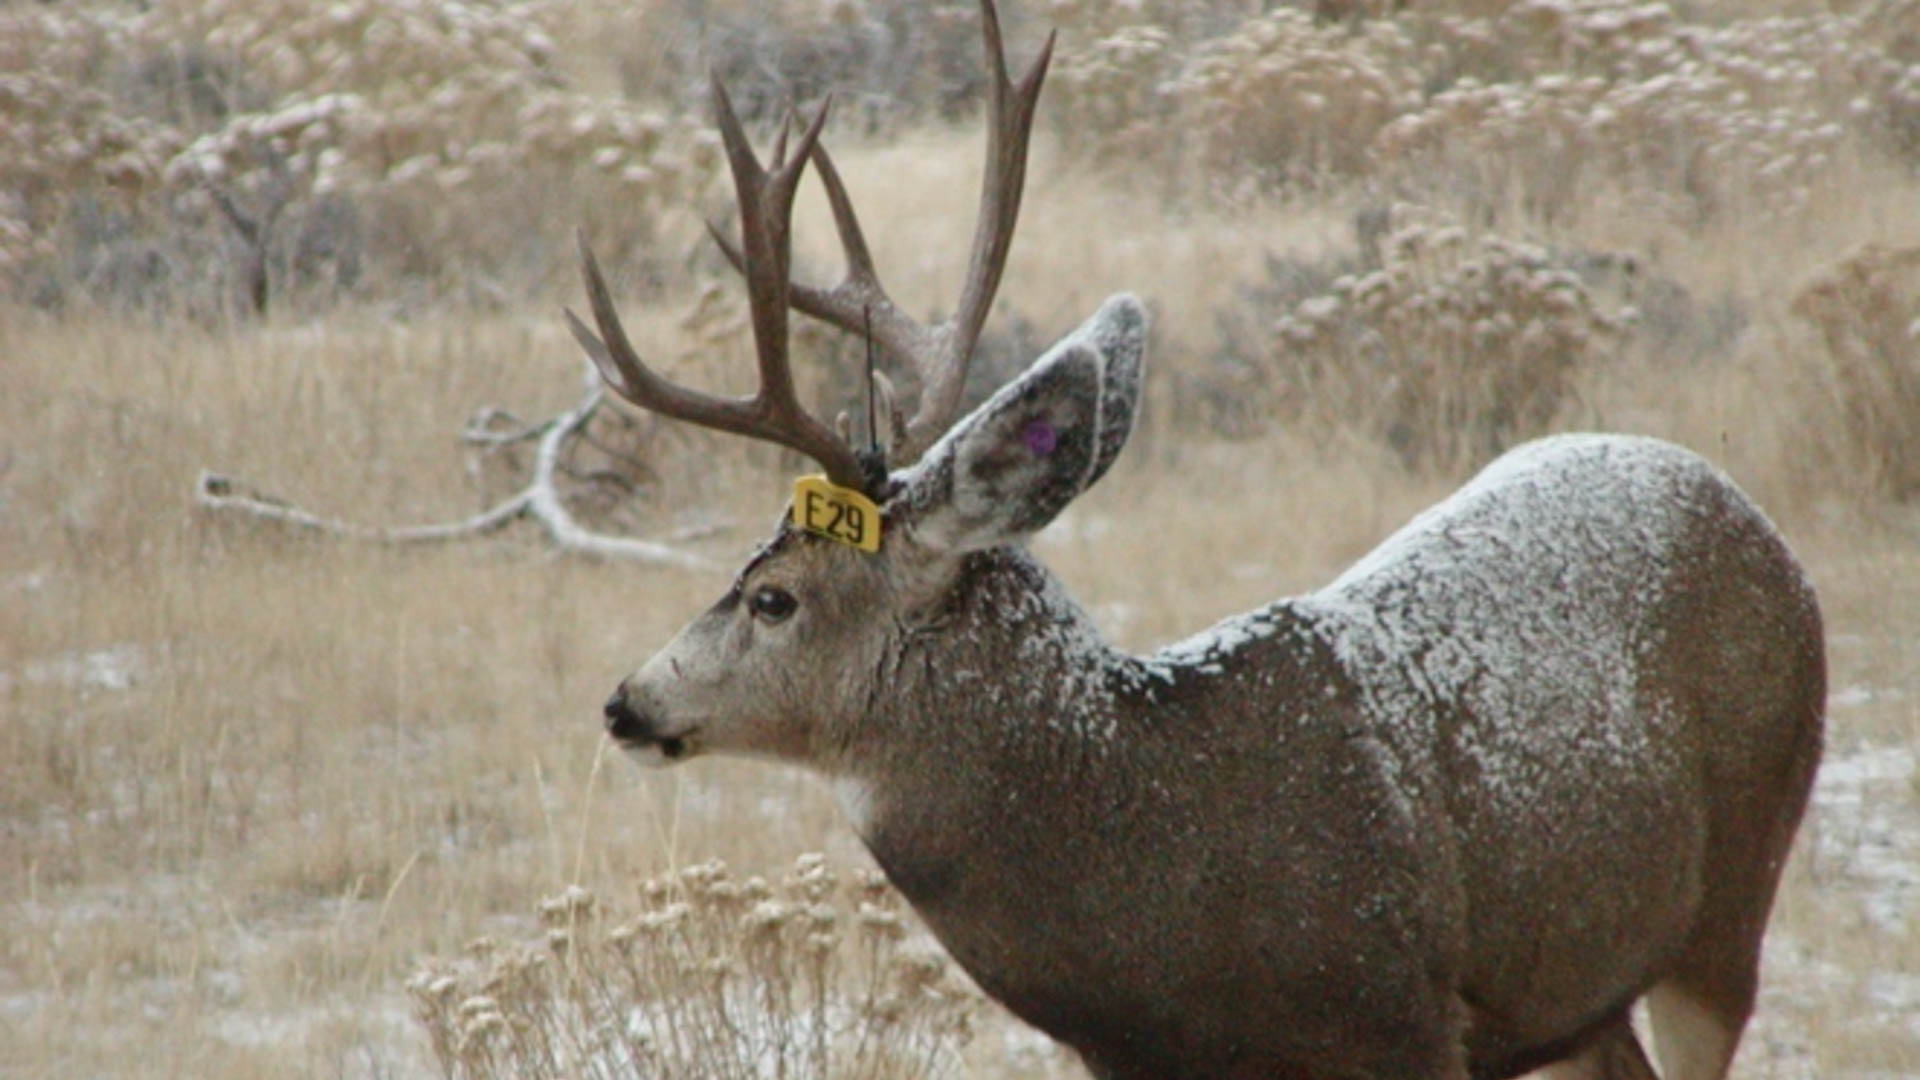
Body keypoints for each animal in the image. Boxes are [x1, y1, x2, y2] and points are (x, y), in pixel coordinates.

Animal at [566, 4, 1826, 1078]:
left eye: (773, 594)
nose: (625, 700)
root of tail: (1737, 503)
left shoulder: (1407, 1016)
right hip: (1575, 982)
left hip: (1735, 887)